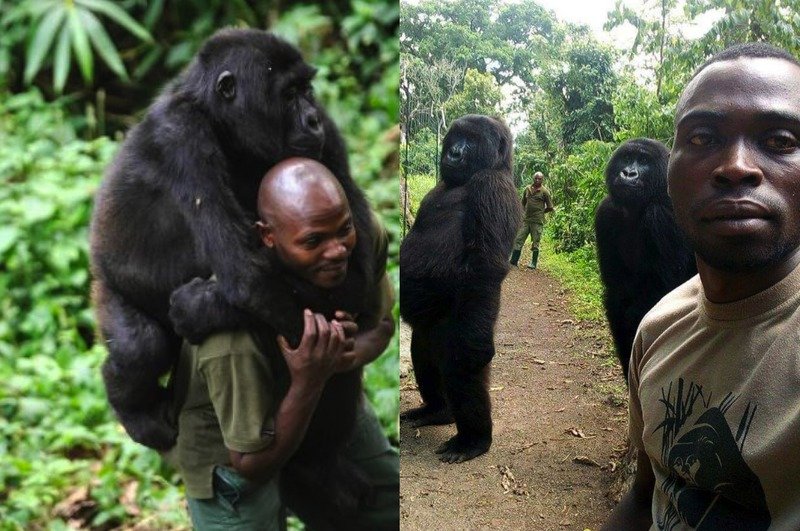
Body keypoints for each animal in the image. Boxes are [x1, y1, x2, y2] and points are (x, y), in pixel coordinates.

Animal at [89, 29, 376, 450]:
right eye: (288, 93)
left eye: (307, 90)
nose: (311, 119)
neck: (218, 119)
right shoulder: (181, 135)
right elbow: (248, 277)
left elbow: (357, 272)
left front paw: (198, 308)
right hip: (108, 286)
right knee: (138, 344)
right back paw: (133, 409)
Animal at [400, 115, 524, 462]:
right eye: (455, 137)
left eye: (471, 139)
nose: (454, 152)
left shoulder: (492, 188)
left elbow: (485, 269)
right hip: (429, 330)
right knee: (423, 353)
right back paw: (436, 410)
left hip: (461, 327)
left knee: (461, 370)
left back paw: (473, 440)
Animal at [592, 139, 696, 380]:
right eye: (627, 157)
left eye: (644, 161)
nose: (628, 173)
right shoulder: (605, 212)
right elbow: (616, 295)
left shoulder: (662, 216)